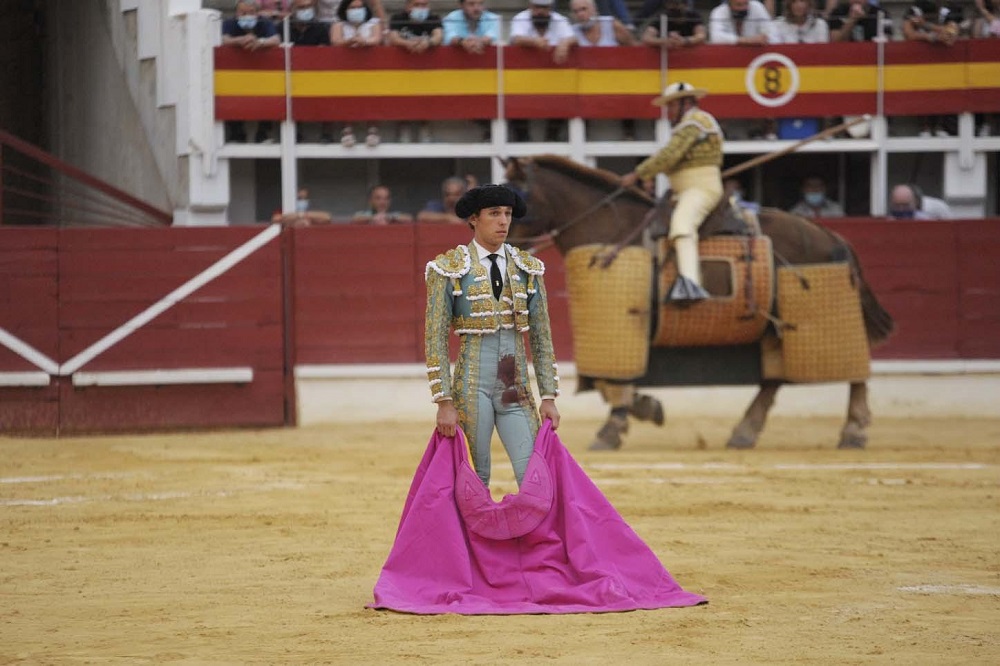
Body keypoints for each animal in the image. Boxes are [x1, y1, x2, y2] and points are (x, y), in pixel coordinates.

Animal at [504, 153, 896, 448]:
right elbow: (607, 382)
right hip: (774, 326)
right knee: (774, 378)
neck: (608, 227)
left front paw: (612, 429)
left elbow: (614, 382)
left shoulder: (622, 325)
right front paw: (647, 408)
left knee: (853, 368)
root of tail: (830, 234)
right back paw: (744, 431)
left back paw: (853, 430)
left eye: (515, 195)